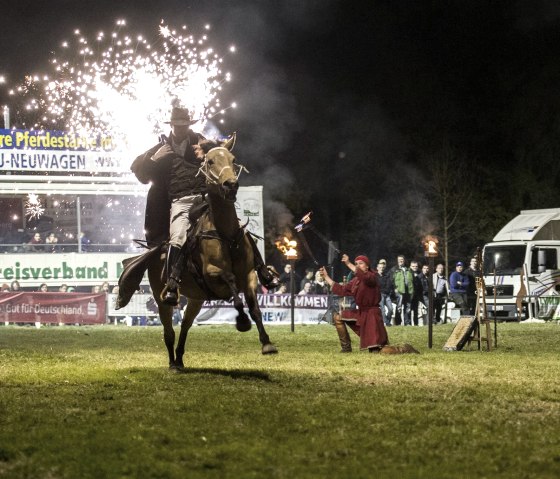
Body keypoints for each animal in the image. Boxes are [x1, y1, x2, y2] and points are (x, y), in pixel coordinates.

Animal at [143, 135, 276, 372]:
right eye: (210, 161)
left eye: (233, 159)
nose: (230, 184)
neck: (226, 234)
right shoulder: (211, 273)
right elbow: (230, 281)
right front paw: (242, 321)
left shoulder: (249, 275)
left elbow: (255, 308)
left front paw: (267, 343)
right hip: (161, 299)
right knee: (169, 330)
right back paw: (172, 363)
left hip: (196, 299)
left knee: (185, 325)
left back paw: (180, 358)